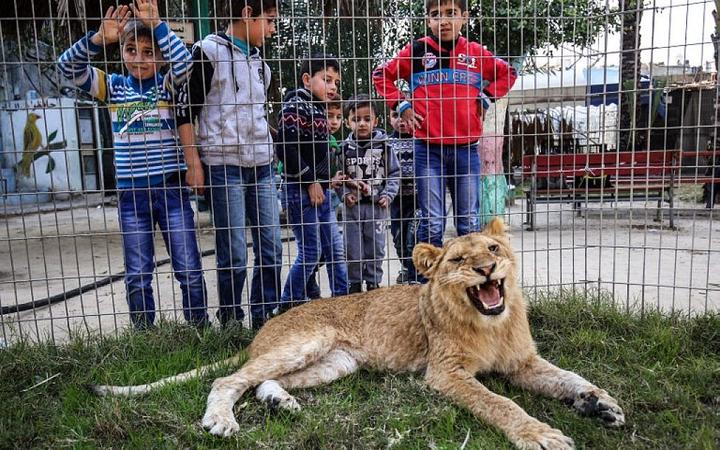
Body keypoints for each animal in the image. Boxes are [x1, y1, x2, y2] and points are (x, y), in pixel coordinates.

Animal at [95, 217, 624, 446]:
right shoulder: (445, 374)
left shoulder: (523, 362)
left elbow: (568, 377)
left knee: (262, 381)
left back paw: (282, 403)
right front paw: (541, 435)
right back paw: (222, 421)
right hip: (309, 341)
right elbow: (499, 403)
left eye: (493, 248)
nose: (486, 268)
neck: (489, 322)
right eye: (457, 260)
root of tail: (262, 327)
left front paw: (601, 404)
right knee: (229, 380)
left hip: (336, 362)